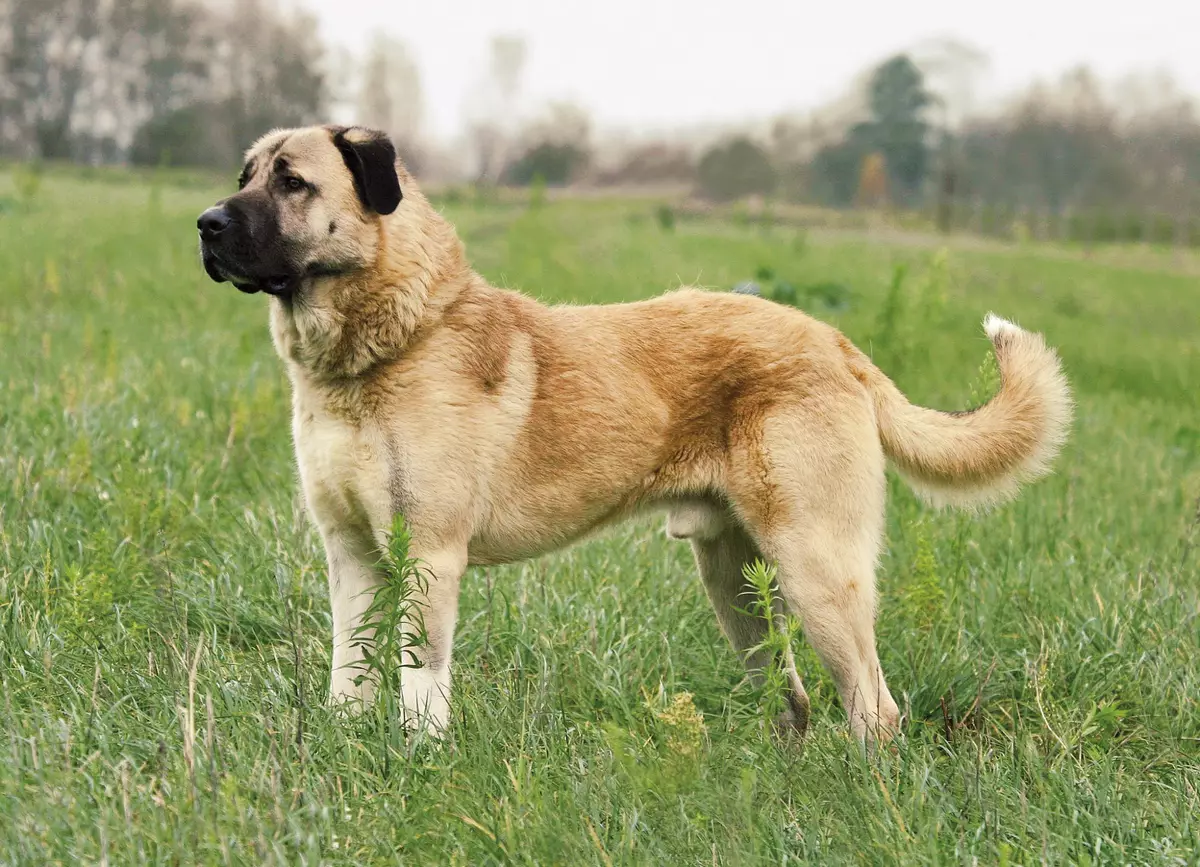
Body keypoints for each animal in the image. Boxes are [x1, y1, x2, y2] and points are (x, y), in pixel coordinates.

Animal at [196, 123, 1070, 744]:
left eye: (292, 181)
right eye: (244, 175)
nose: (204, 223)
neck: (383, 347)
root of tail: (834, 340)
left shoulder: (430, 556)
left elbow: (421, 687)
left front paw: (419, 763)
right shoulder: (351, 555)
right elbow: (348, 671)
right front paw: (346, 748)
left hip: (817, 569)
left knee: (874, 708)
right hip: (735, 583)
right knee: (790, 698)